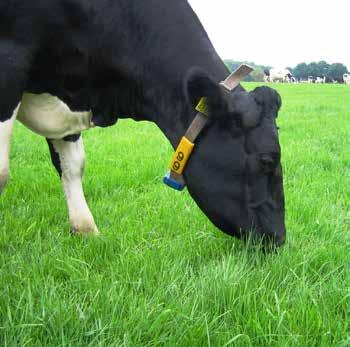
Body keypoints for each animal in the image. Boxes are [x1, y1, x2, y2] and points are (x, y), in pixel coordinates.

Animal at [0, 0, 286, 246]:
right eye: (267, 160)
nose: (279, 237)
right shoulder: (10, 59)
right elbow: (3, 172)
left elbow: (72, 166)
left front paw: (85, 231)